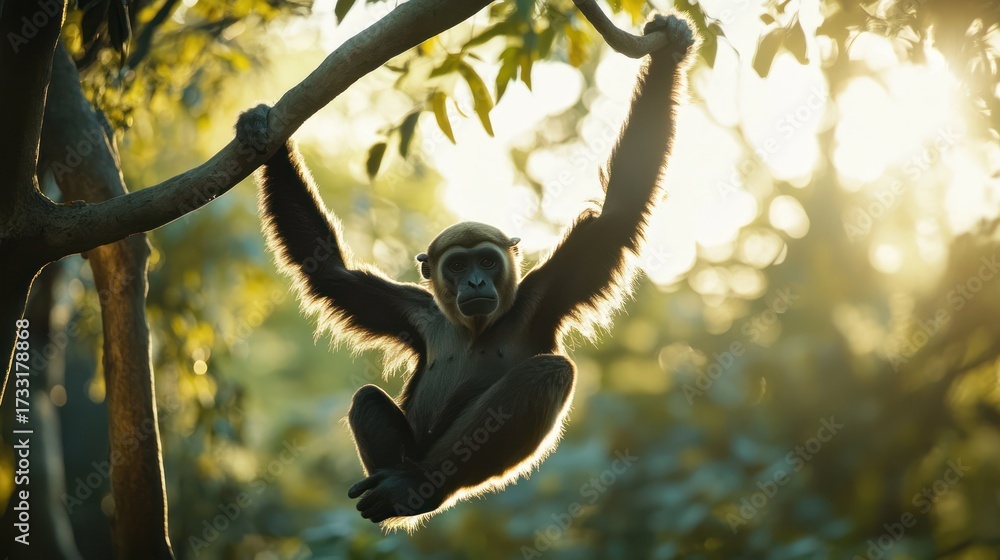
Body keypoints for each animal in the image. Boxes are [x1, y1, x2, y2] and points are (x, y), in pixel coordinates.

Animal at [235, 13, 695, 530]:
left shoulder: (555, 284)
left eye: (487, 261)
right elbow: (331, 271)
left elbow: (618, 212)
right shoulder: (414, 310)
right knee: (368, 397)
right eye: (458, 265)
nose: (475, 280)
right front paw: (265, 135)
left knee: (549, 373)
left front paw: (669, 52)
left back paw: (415, 489)